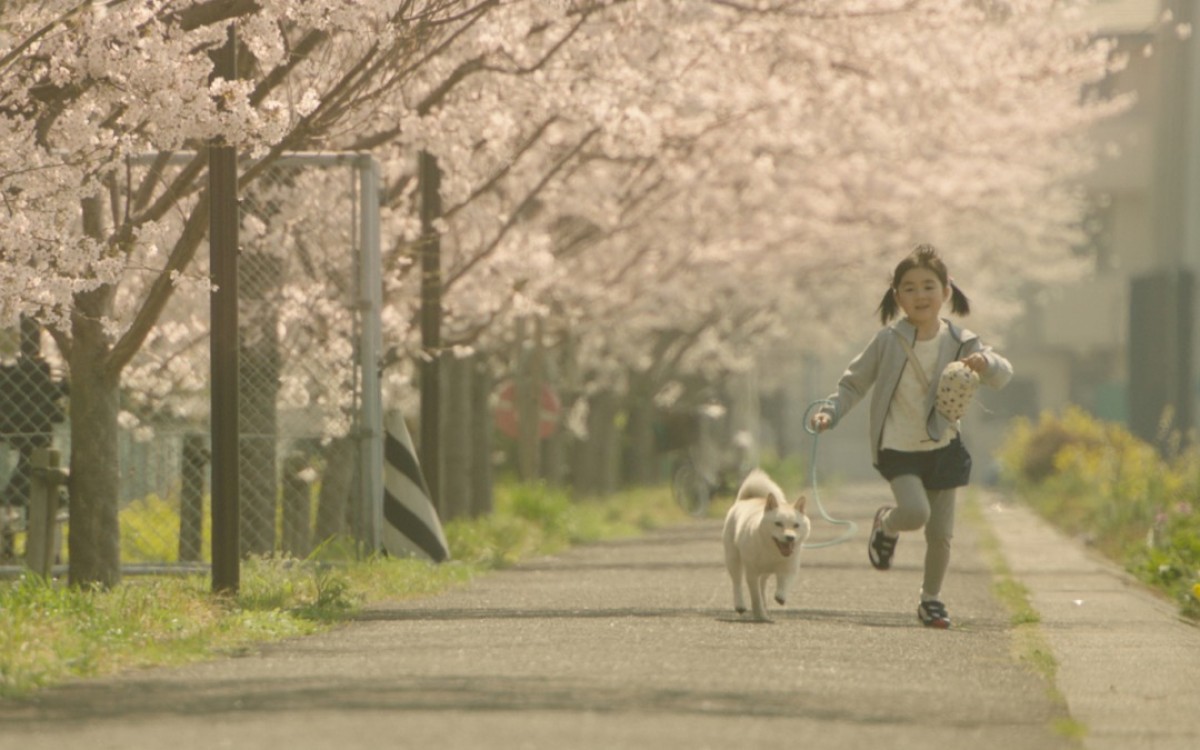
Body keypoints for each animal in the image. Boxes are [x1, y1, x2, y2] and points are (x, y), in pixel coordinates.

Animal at [715, 468, 811, 619]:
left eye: (796, 525)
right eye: (778, 523)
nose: (790, 537)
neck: (772, 551)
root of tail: (746, 499)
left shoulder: (790, 567)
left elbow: (785, 583)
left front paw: (780, 596)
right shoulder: (752, 573)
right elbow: (755, 597)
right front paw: (759, 614)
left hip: (765, 571)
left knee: (763, 584)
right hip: (733, 559)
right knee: (737, 582)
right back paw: (740, 605)